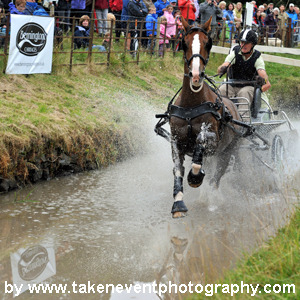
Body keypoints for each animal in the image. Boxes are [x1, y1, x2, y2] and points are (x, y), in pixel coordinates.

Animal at [169, 16, 241, 218]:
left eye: (208, 43)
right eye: (184, 43)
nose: (195, 75)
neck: (191, 105)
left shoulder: (213, 141)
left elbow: (200, 143)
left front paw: (194, 177)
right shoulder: (175, 141)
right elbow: (178, 170)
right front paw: (178, 204)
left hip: (227, 152)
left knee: (216, 177)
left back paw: (214, 198)